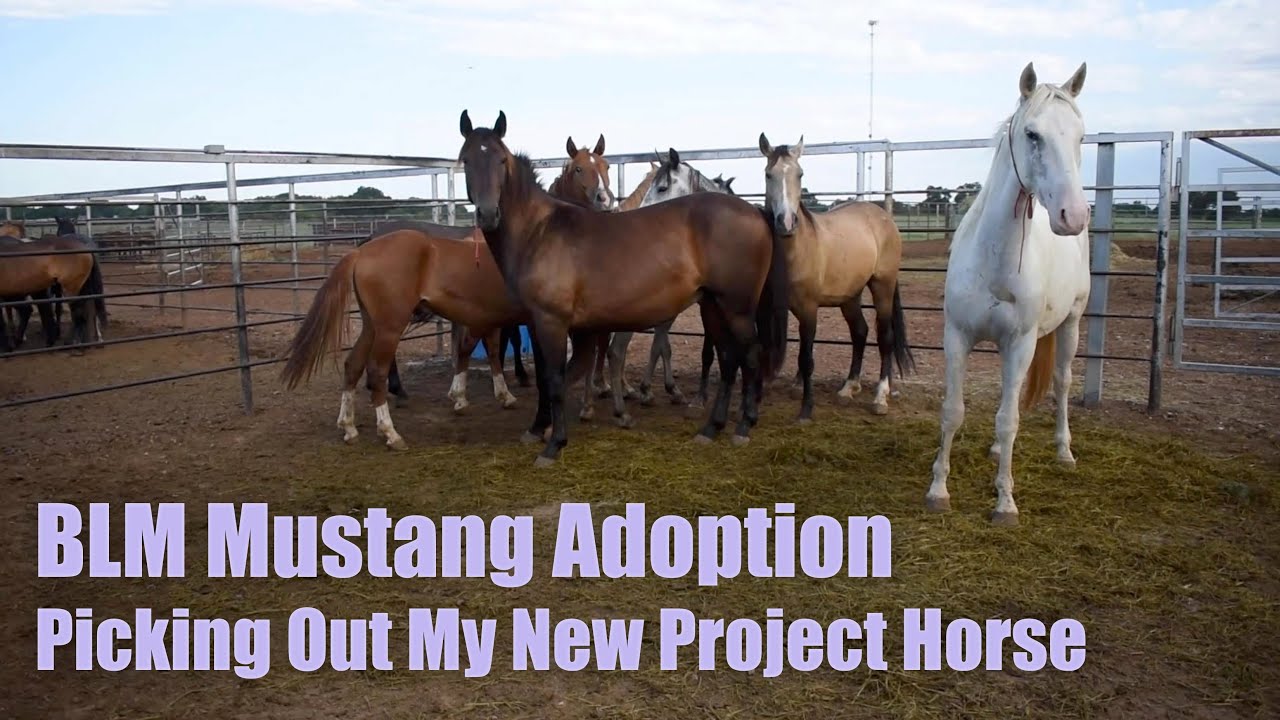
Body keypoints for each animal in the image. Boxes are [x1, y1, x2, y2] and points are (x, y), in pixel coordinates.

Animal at [280, 220, 533, 449]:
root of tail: (361, 251)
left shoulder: (489, 318)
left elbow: (487, 350)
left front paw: (491, 395)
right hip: (390, 327)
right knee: (377, 371)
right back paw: (390, 432)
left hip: (372, 326)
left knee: (353, 365)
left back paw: (349, 427)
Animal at [457, 110, 790, 467]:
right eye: (466, 160)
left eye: (501, 160)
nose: (487, 214)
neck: (540, 231)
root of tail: (755, 211)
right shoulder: (542, 323)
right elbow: (553, 377)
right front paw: (538, 428)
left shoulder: (552, 321)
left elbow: (556, 378)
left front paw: (554, 443)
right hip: (713, 306)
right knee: (729, 359)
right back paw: (711, 428)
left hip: (737, 307)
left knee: (750, 356)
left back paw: (743, 426)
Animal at [758, 132, 914, 422]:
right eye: (768, 174)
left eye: (800, 174)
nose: (786, 222)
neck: (797, 249)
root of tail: (882, 216)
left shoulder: (809, 308)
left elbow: (806, 358)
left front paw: (806, 409)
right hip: (850, 296)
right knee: (860, 332)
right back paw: (848, 388)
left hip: (882, 286)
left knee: (884, 336)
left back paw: (880, 396)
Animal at [925, 61, 1092, 527]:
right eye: (1032, 134)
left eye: (1081, 135)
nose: (1074, 215)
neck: (993, 257)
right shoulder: (957, 336)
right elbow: (953, 411)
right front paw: (938, 490)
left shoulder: (1020, 342)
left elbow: (1009, 419)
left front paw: (1005, 502)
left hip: (1071, 324)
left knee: (1060, 382)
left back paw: (1064, 451)